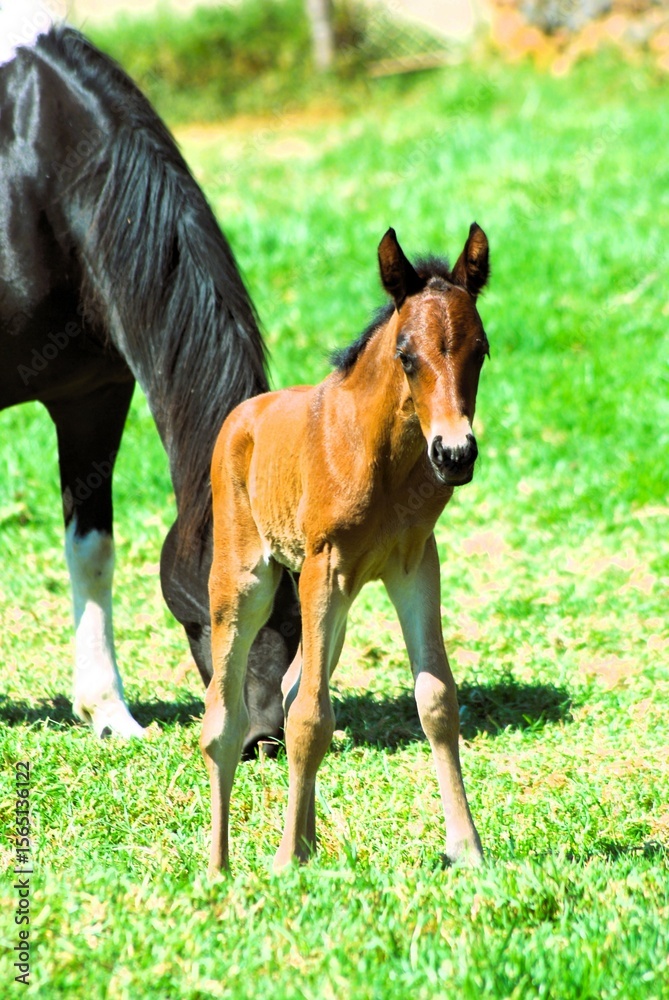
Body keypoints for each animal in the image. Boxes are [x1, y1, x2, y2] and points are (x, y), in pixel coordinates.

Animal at [0, 20, 299, 747]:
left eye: (296, 606)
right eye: (222, 602)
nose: (263, 737)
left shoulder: (92, 398)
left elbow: (92, 549)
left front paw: (107, 711)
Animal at [202, 223, 490, 872]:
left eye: (481, 350)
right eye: (407, 356)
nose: (454, 453)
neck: (384, 457)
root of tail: (244, 415)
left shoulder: (415, 564)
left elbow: (437, 699)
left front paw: (467, 848)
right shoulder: (326, 566)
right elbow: (311, 718)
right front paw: (285, 861)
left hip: (342, 593)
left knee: (289, 688)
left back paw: (305, 841)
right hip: (247, 581)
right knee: (224, 720)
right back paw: (220, 866)